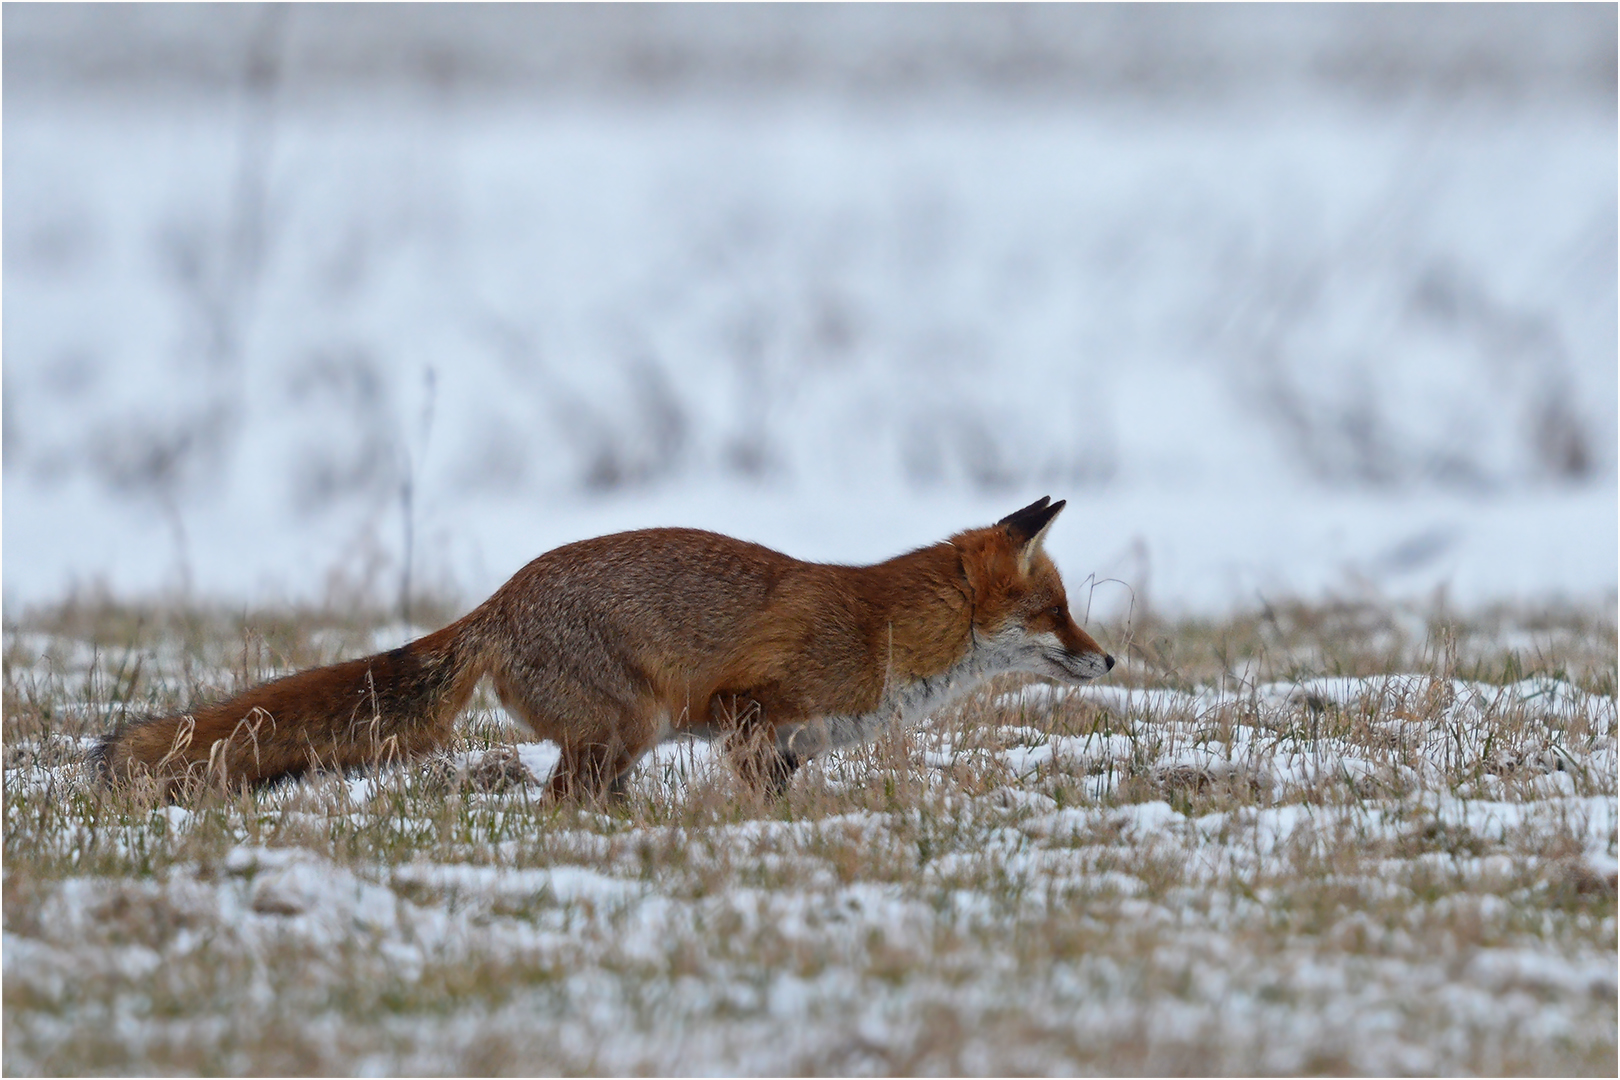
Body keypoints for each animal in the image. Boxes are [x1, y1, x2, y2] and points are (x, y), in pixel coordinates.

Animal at [94, 498, 1114, 803]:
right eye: (1056, 612)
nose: (1109, 662)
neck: (885, 636)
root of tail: (499, 600)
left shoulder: (788, 745)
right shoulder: (749, 709)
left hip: (626, 739)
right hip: (635, 721)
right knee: (559, 801)